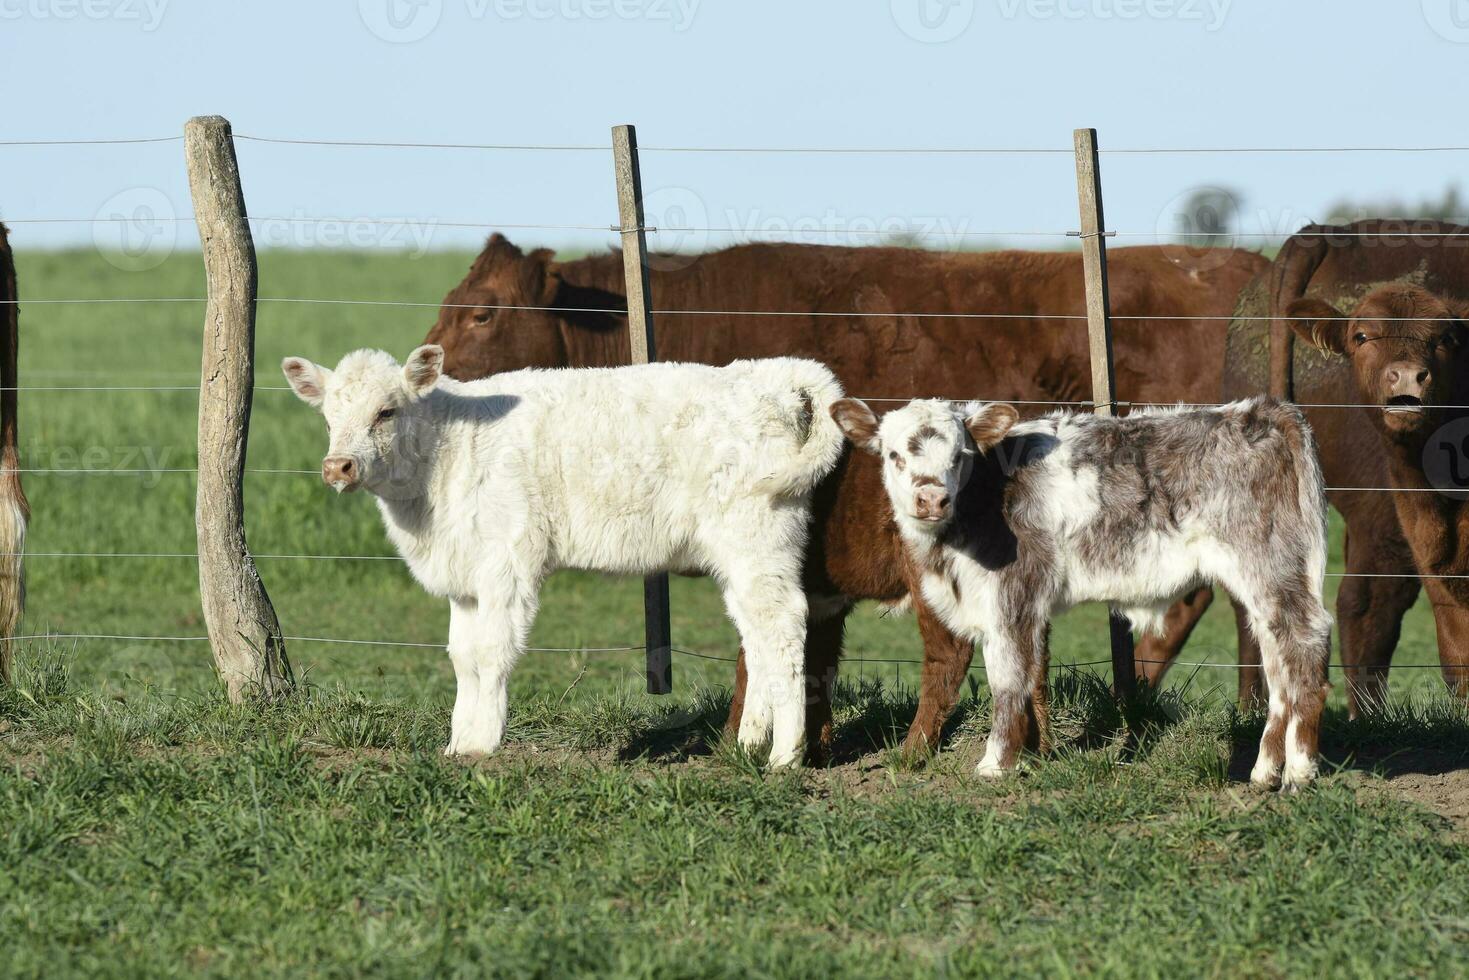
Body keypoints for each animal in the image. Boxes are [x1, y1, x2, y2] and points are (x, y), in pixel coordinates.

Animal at [283, 345, 852, 764]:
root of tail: (768, 374)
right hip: (740, 556)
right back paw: (749, 743)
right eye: (329, 417)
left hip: (760, 538)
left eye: (387, 411)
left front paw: (482, 744)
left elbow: (491, 652)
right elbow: (463, 657)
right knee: (756, 635)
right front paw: (456, 745)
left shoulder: (506, 561)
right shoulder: (465, 577)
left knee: (784, 627)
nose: (337, 467)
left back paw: (785, 757)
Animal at [840, 396, 1333, 787]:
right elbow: (1031, 674)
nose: (930, 498)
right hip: (1265, 583)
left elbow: (1008, 680)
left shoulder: (1012, 597)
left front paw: (995, 764)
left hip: (1270, 567)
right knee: (1278, 660)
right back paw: (1264, 771)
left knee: (1305, 643)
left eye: (961, 454)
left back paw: (1299, 771)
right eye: (893, 454)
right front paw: (1031, 756)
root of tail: (1258, 410)